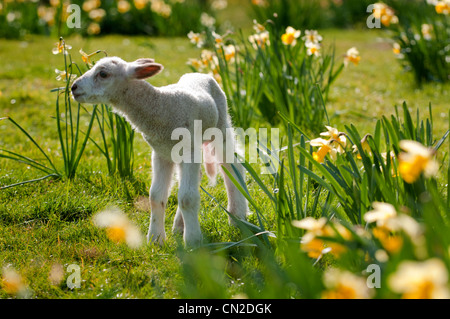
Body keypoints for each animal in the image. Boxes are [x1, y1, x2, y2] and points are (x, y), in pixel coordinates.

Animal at [72, 57, 251, 248]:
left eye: (103, 74)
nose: (73, 87)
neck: (161, 106)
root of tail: (201, 74)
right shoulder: (161, 153)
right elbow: (156, 197)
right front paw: (155, 239)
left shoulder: (189, 149)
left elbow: (187, 197)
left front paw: (193, 241)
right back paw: (179, 226)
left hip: (220, 126)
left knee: (232, 166)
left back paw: (238, 216)